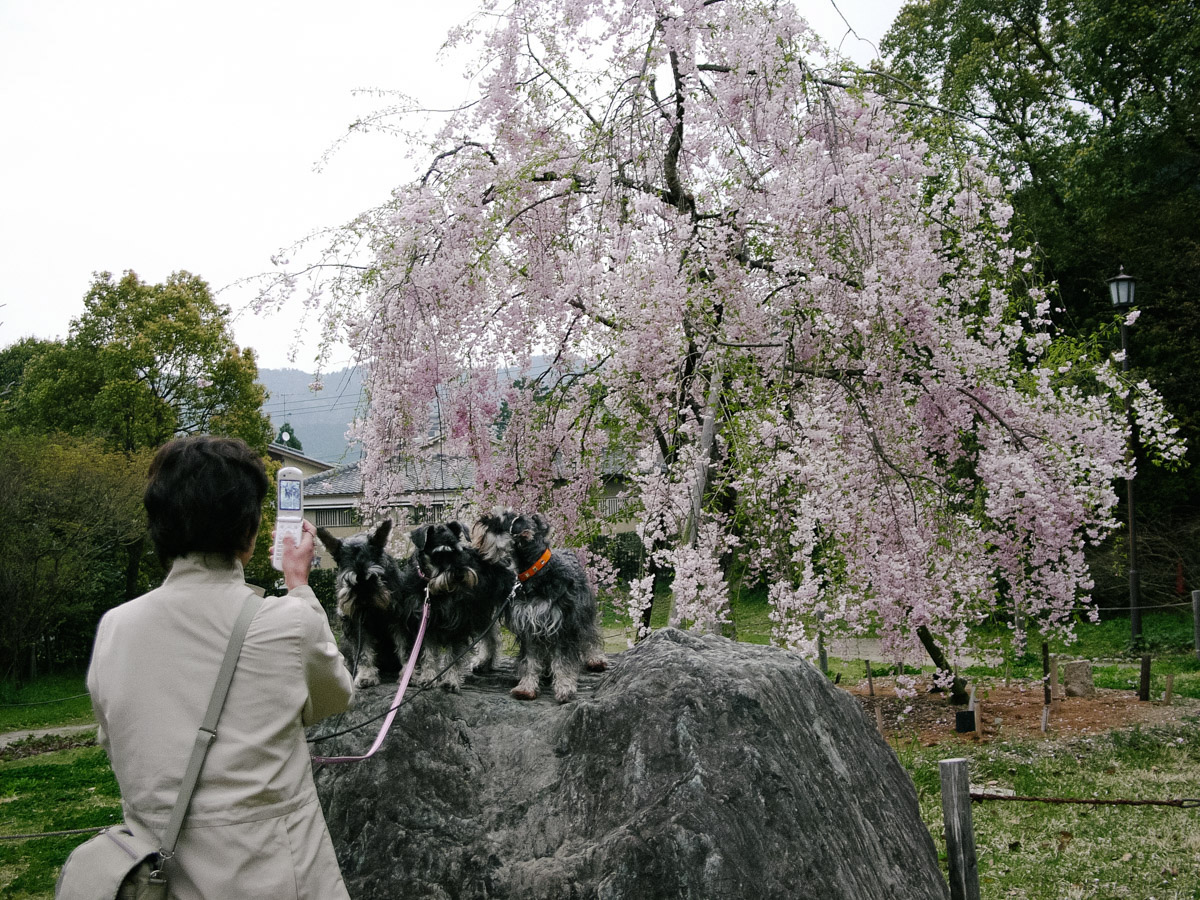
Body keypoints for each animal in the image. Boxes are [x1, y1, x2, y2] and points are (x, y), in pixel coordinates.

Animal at [316, 518, 513, 696]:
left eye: (459, 552)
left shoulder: (453, 625)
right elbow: (425, 654)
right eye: (438, 555)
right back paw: (485, 662)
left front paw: (449, 680)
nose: (459, 574)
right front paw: (426, 677)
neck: (433, 590)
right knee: (491, 635)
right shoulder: (416, 624)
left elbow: (450, 655)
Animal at [470, 508, 604, 705]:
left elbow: (563, 660)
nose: (480, 520)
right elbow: (530, 660)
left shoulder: (562, 626)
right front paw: (526, 688)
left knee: (590, 635)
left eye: (500, 520)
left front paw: (565, 688)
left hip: (583, 613)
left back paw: (596, 659)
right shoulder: (529, 626)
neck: (536, 572)